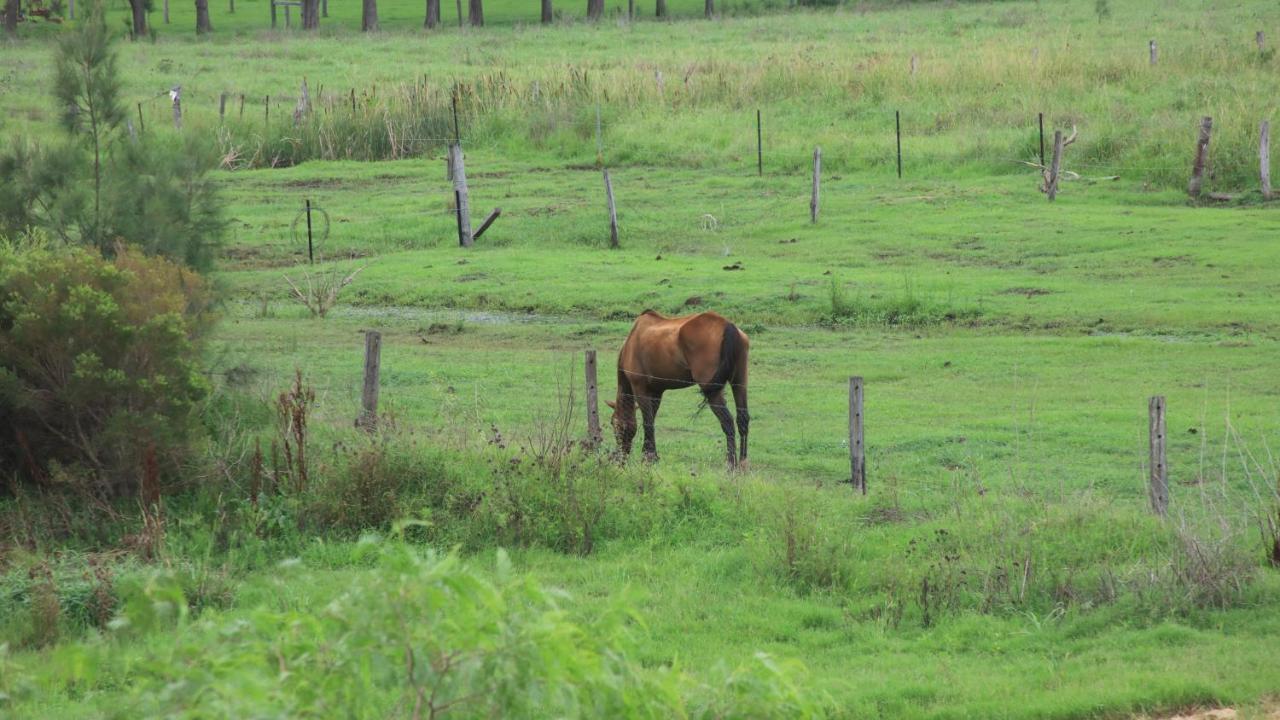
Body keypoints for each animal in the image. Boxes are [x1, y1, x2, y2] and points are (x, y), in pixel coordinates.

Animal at [601, 308, 747, 466]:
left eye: (612, 422)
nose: (619, 457)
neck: (631, 343)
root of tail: (727, 325)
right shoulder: (656, 392)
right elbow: (651, 420)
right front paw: (651, 455)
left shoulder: (640, 388)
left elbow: (647, 422)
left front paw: (648, 458)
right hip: (739, 383)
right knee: (743, 419)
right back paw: (743, 463)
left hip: (713, 392)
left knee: (727, 422)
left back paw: (731, 464)